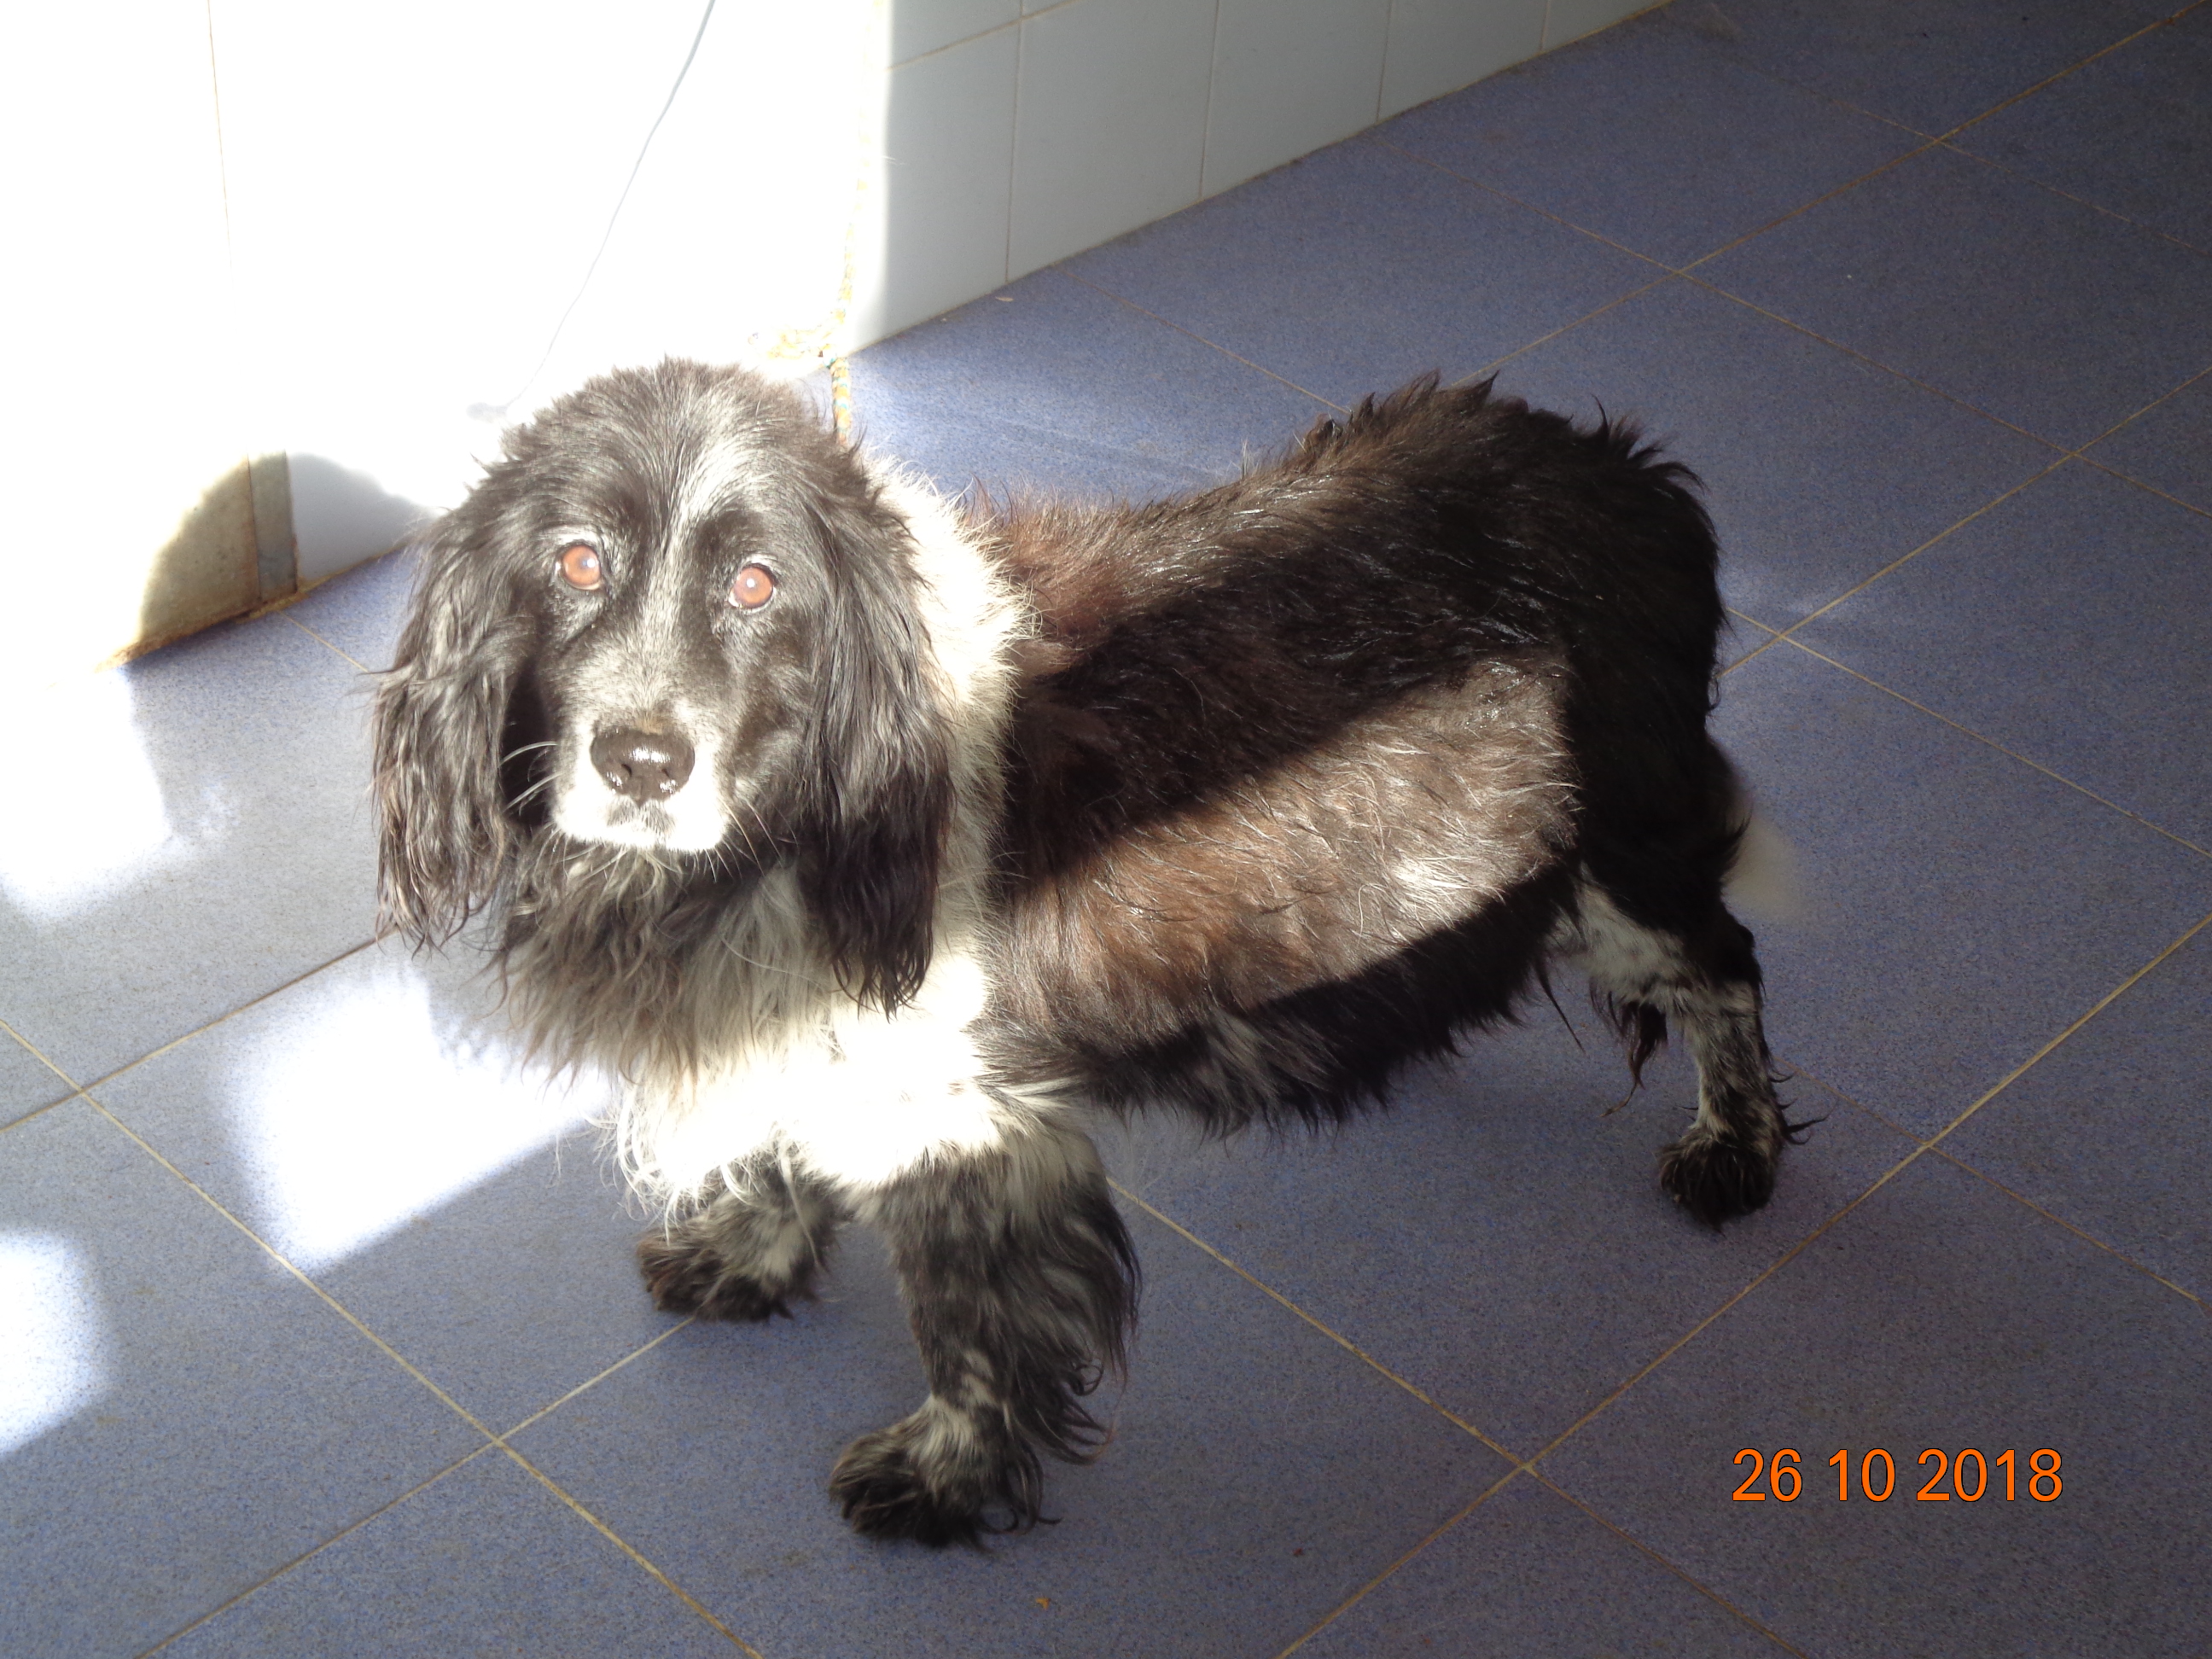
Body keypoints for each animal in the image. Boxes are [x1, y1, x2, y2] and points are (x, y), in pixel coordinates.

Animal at [371, 358, 1792, 1545]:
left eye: (757, 584)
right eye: (576, 562)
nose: (641, 761)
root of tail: (1636, 479)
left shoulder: (968, 1127)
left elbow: (965, 1327)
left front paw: (944, 1481)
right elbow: (783, 1154)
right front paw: (753, 1260)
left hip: (1620, 863)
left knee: (1727, 963)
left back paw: (1736, 1148)